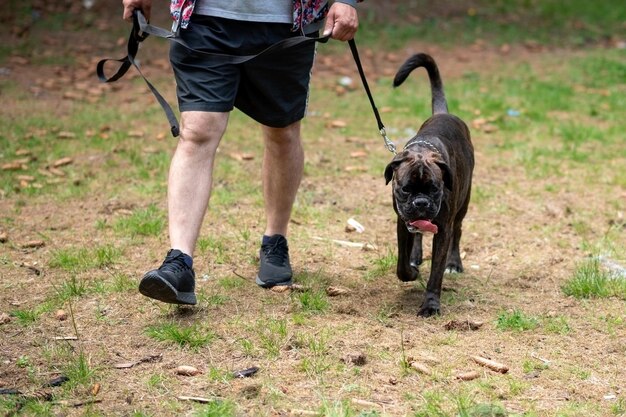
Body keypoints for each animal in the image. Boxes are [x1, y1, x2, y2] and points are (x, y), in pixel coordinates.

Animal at [380, 52, 472, 316]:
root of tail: (443, 113)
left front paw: (430, 304)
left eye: (435, 189)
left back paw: (454, 263)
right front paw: (411, 271)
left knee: (458, 232)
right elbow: (401, 264)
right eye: (405, 189)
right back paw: (416, 256)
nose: (421, 202)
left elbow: (436, 274)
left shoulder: (443, 230)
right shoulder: (402, 224)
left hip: (463, 206)